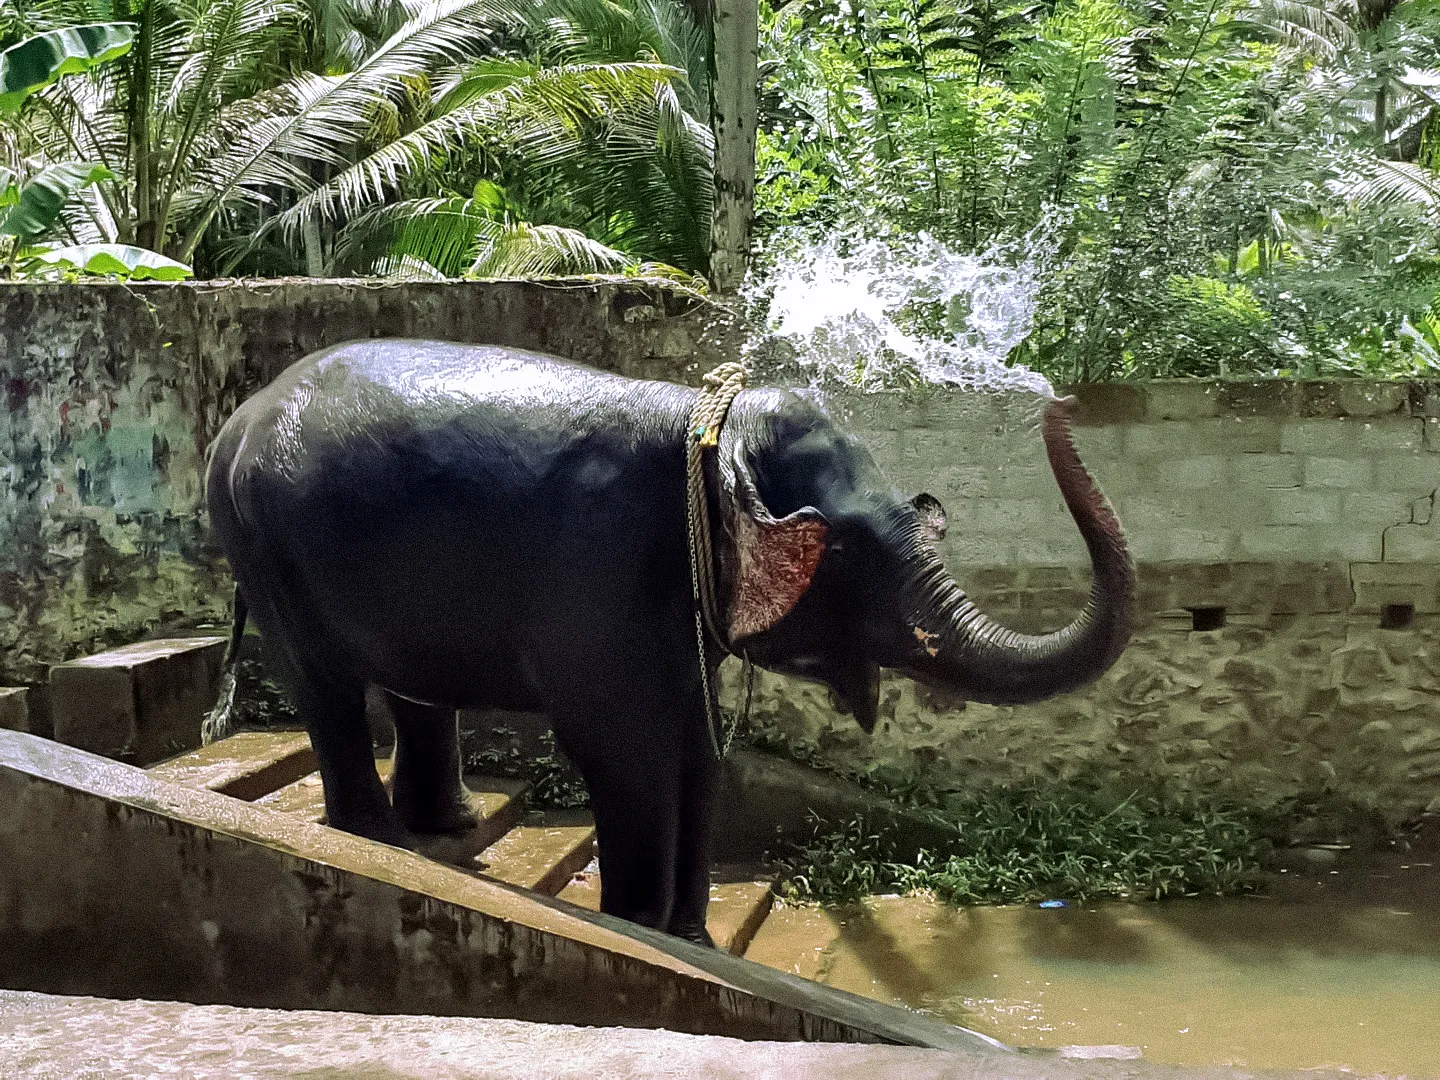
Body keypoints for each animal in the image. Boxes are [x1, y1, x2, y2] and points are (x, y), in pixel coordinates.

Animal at [203, 339, 1133, 945]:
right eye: (845, 553)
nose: (1063, 403)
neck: (707, 431)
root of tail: (239, 414)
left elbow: (698, 743)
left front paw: (692, 939)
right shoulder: (602, 568)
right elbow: (624, 744)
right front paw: (638, 925)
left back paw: (444, 832)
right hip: (261, 541)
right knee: (324, 687)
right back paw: (382, 844)